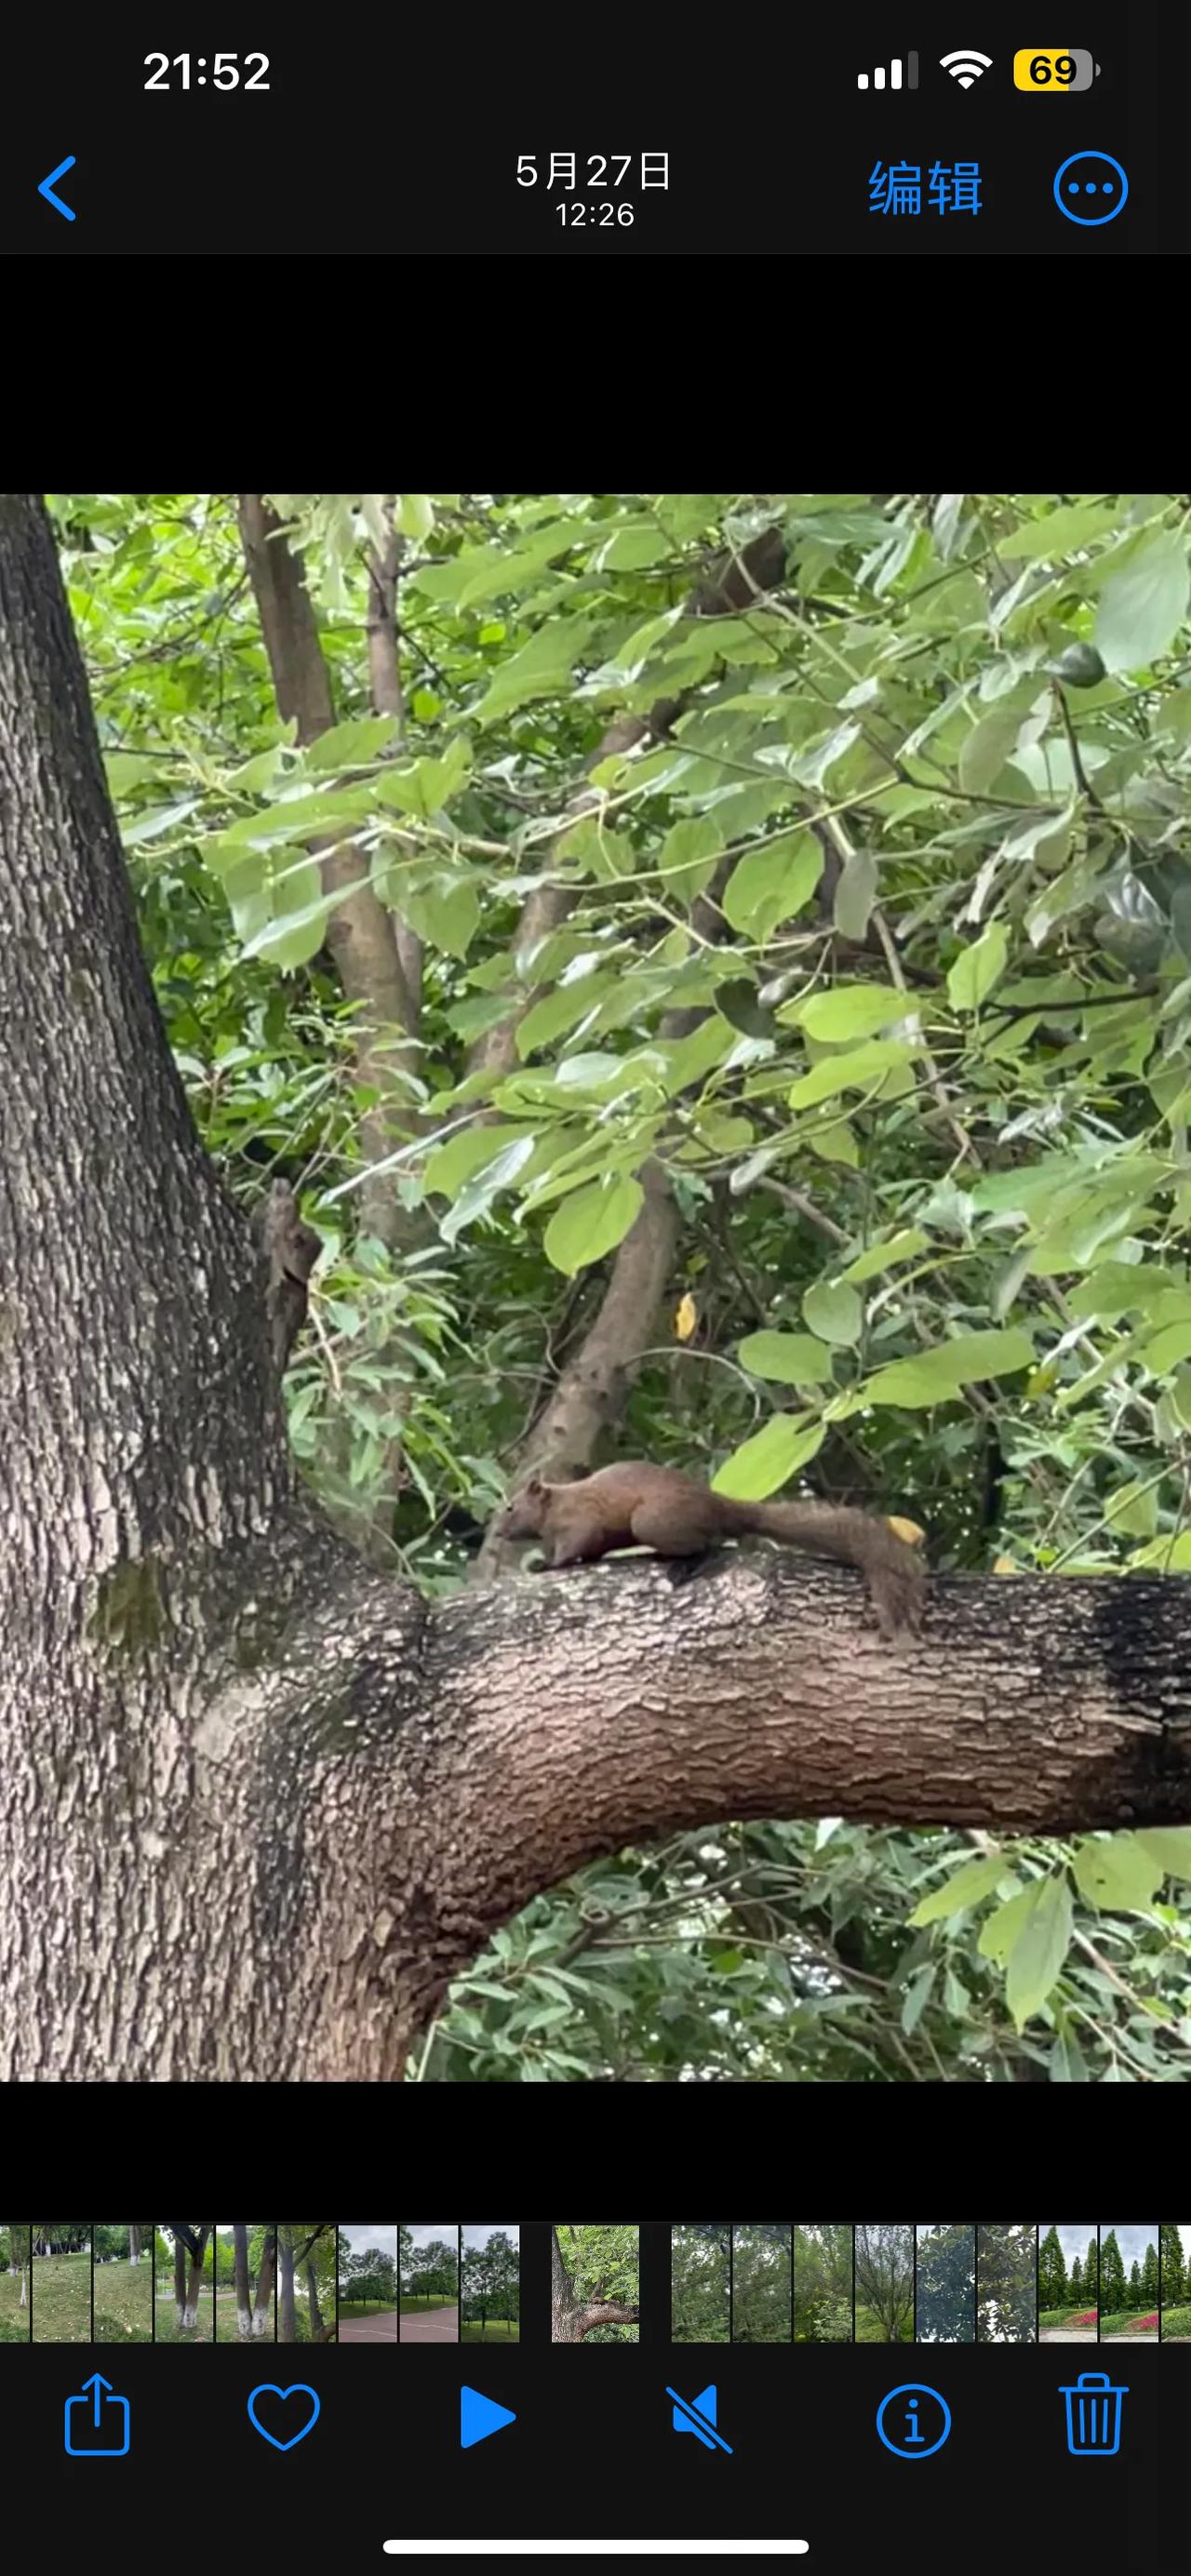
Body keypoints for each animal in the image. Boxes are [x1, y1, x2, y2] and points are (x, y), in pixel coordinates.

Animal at [487, 1462, 928, 1638]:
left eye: (510, 1507)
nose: (495, 1533)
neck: (555, 1504)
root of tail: (717, 1505)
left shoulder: (579, 1521)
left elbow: (573, 1549)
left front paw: (547, 1566)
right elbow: (590, 1552)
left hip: (653, 1521)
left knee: (711, 1544)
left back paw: (686, 1563)